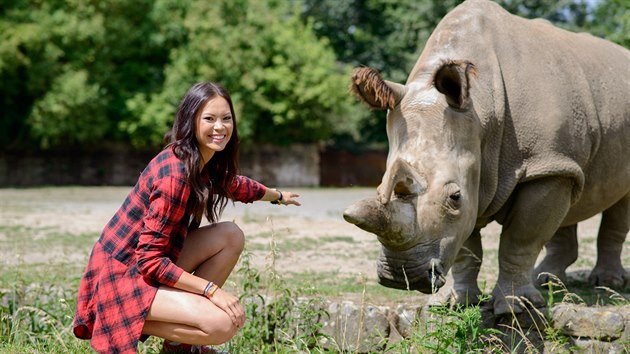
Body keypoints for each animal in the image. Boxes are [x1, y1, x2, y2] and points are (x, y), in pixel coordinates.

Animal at [346, 0, 630, 316]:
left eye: (454, 197)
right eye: (380, 187)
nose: (401, 277)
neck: (482, 112)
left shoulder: (540, 162)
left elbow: (520, 239)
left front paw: (515, 309)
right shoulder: (492, 167)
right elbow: (466, 247)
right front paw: (455, 303)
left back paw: (607, 283)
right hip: (566, 144)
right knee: (571, 187)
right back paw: (546, 282)